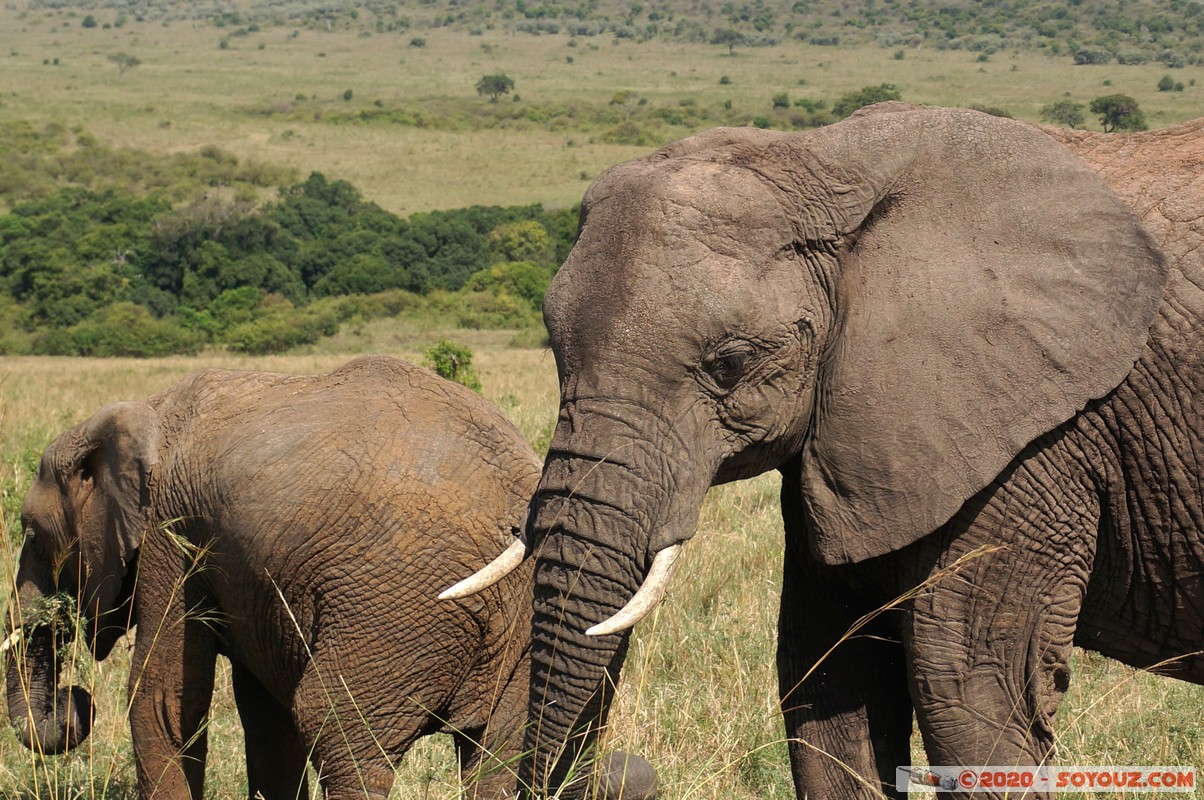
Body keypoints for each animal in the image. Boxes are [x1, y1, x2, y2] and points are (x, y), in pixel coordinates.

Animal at [4, 356, 654, 800]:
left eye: (31, 533)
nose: (76, 699)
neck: (144, 409)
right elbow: (265, 720)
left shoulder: (172, 532)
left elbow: (163, 700)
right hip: (543, 635)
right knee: (496, 758)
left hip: (400, 615)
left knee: (339, 734)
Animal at [452, 107, 1204, 800]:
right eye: (554, 345)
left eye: (730, 362)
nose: (622, 772)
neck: (828, 159)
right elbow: (826, 679)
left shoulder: (1035, 444)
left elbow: (970, 690)